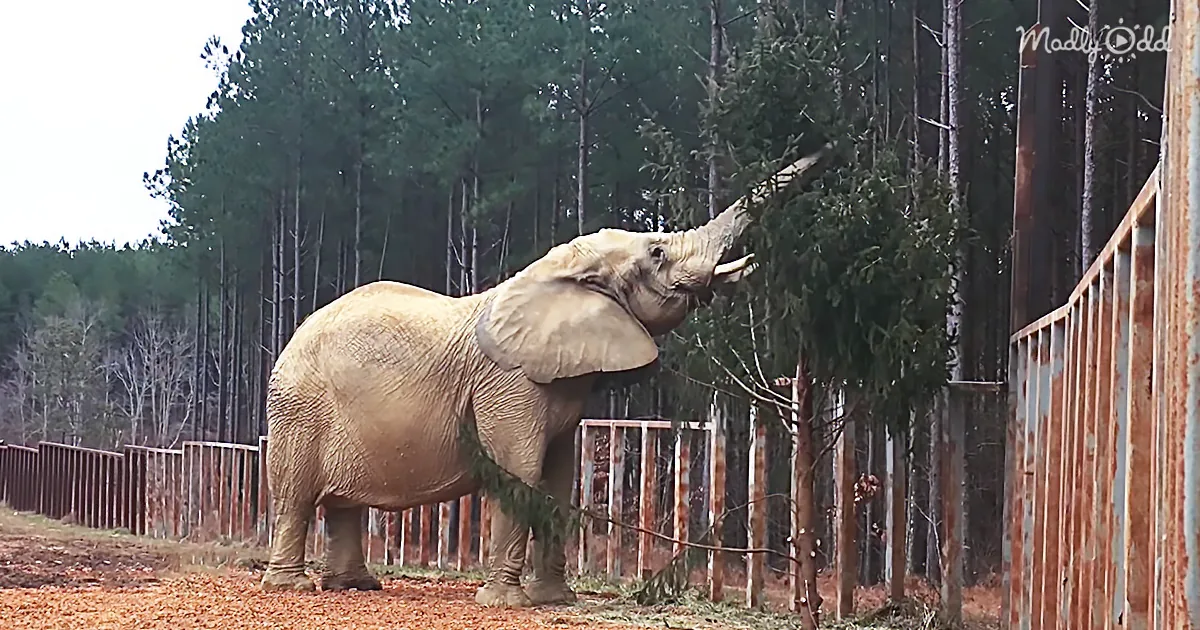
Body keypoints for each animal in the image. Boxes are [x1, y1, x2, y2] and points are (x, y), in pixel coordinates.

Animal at [259, 148, 829, 607]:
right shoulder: (508, 383)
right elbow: (520, 471)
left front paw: (555, 599)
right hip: (298, 409)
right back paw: (290, 587)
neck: (554, 272)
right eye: (658, 253)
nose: (827, 147)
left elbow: (556, 479)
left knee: (341, 503)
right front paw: (506, 604)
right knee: (295, 495)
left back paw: (355, 586)